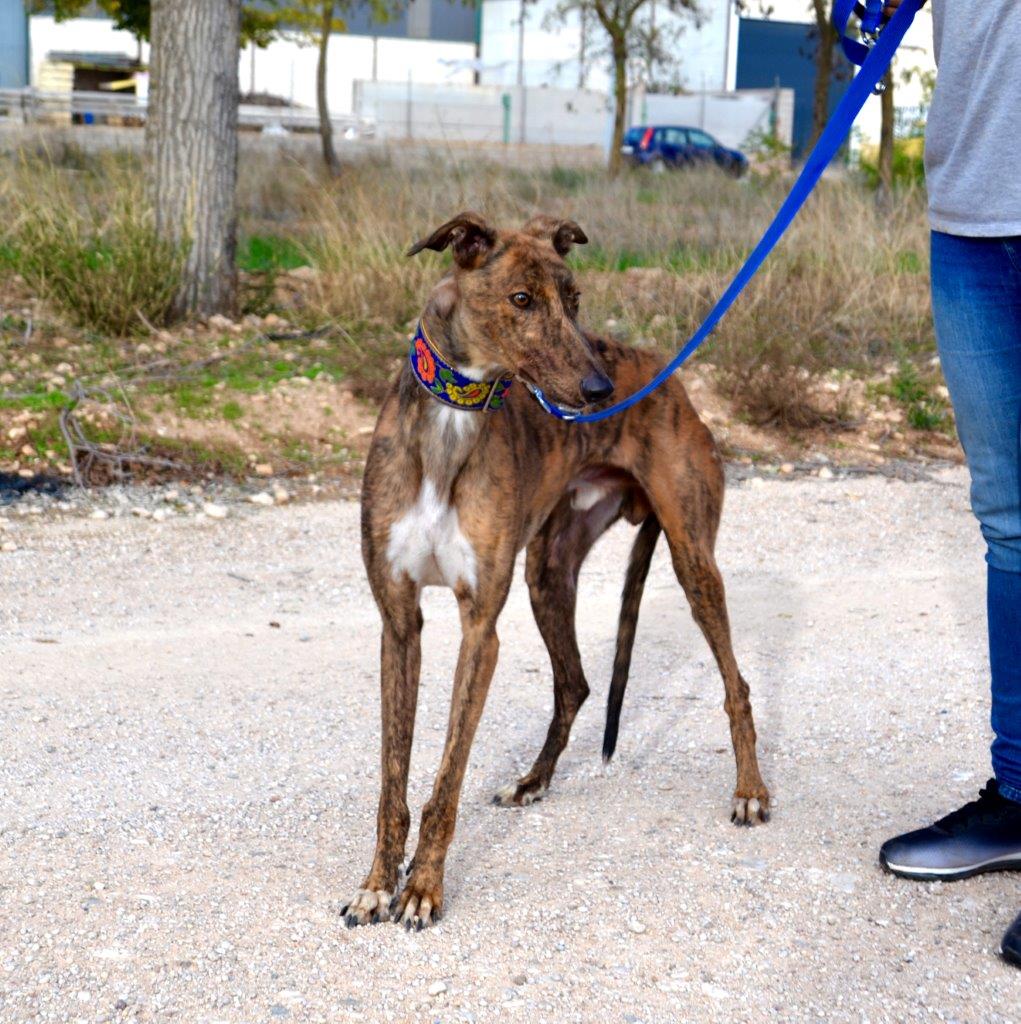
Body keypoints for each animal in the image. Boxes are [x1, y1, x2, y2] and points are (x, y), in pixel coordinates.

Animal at [342, 207, 766, 929]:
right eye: (521, 299)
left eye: (575, 300)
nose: (600, 390)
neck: (452, 423)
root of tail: (671, 381)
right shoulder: (398, 621)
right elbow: (393, 775)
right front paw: (376, 882)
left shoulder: (479, 627)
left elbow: (446, 779)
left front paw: (423, 888)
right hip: (547, 570)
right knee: (575, 684)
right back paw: (533, 780)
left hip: (691, 557)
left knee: (733, 682)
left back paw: (750, 791)